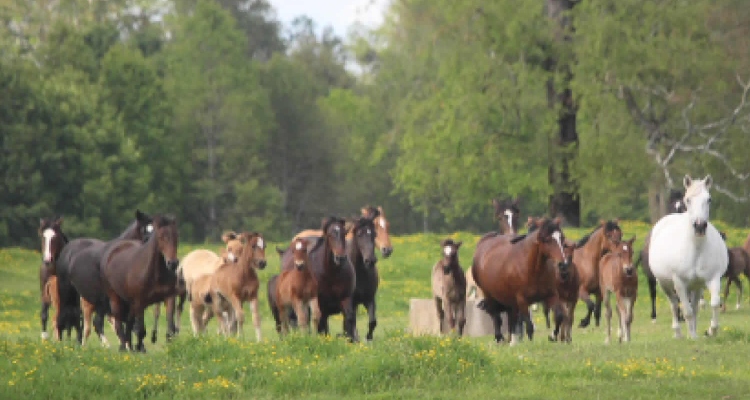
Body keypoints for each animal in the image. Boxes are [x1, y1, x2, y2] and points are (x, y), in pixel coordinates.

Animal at [99, 214, 180, 352]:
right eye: (161, 237)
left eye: (176, 237)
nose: (172, 263)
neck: (154, 273)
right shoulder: (140, 301)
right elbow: (141, 329)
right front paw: (140, 349)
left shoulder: (169, 298)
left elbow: (170, 328)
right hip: (115, 298)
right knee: (119, 322)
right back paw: (123, 346)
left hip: (130, 303)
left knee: (129, 322)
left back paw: (130, 345)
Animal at [472, 217, 572, 346]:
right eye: (547, 240)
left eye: (562, 238)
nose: (563, 265)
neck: (532, 270)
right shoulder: (522, 300)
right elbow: (529, 326)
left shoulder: (551, 296)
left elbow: (559, 316)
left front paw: (552, 336)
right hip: (489, 294)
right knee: (496, 316)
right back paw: (500, 339)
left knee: (512, 318)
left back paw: (512, 341)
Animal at [648, 174, 732, 338]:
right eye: (688, 200)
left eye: (709, 199)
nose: (699, 226)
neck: (695, 249)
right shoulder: (679, 283)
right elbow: (686, 311)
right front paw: (692, 337)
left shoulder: (712, 278)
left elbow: (713, 303)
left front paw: (711, 330)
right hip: (665, 284)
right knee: (674, 304)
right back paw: (678, 333)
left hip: (696, 286)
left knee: (694, 307)